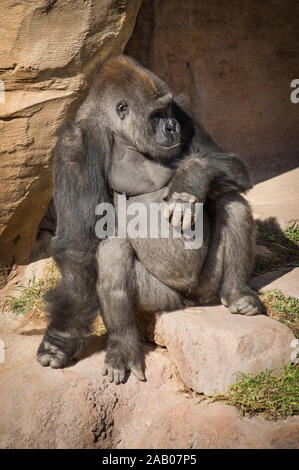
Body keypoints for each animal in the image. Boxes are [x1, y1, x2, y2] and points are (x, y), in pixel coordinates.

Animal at [37, 55, 262, 384]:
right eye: (156, 115)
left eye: (169, 112)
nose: (172, 127)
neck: (120, 133)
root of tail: (189, 301)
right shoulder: (75, 145)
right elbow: (79, 245)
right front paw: (62, 337)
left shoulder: (185, 110)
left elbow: (229, 163)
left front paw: (191, 178)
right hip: (161, 299)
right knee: (112, 251)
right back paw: (122, 345)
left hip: (205, 286)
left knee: (230, 202)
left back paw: (237, 292)